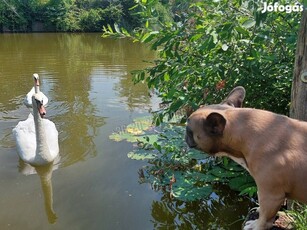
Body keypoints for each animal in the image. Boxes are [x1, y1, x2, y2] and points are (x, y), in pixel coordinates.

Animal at [185, 86, 307, 230]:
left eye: (189, 131)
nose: (185, 136)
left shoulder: (271, 196)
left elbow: (265, 219)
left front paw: (256, 225)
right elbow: (262, 205)